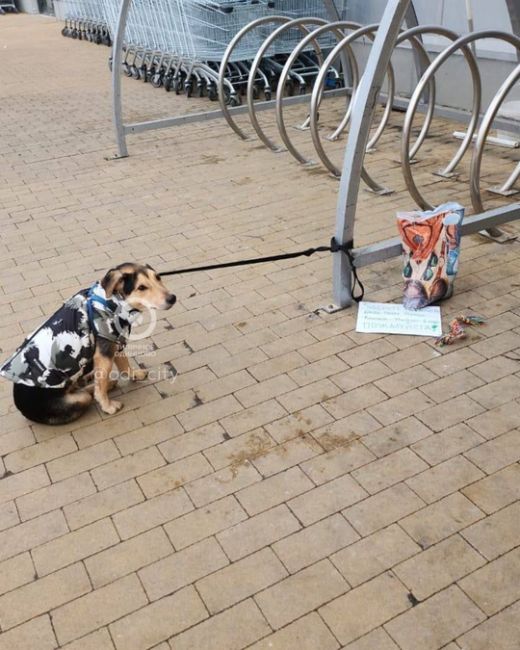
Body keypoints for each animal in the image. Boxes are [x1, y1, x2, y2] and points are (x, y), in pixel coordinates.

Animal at [0, 260, 176, 422]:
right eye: (141, 287)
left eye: (158, 278)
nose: (172, 298)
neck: (111, 302)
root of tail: (21, 409)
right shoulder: (104, 353)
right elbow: (101, 388)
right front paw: (108, 406)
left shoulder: (114, 343)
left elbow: (124, 366)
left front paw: (135, 375)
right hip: (77, 399)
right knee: (86, 393)